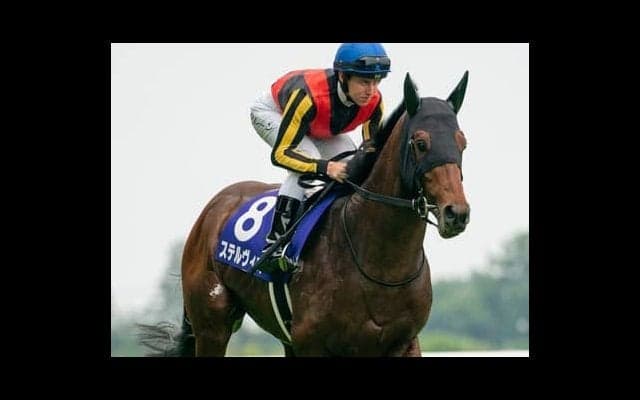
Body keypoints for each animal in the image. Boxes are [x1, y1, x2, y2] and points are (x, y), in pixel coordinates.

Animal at [140, 71, 470, 357]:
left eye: (462, 142)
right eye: (421, 143)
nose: (456, 213)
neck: (380, 264)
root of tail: (214, 207)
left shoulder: (404, 342)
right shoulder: (312, 342)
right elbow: (283, 151)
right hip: (212, 326)